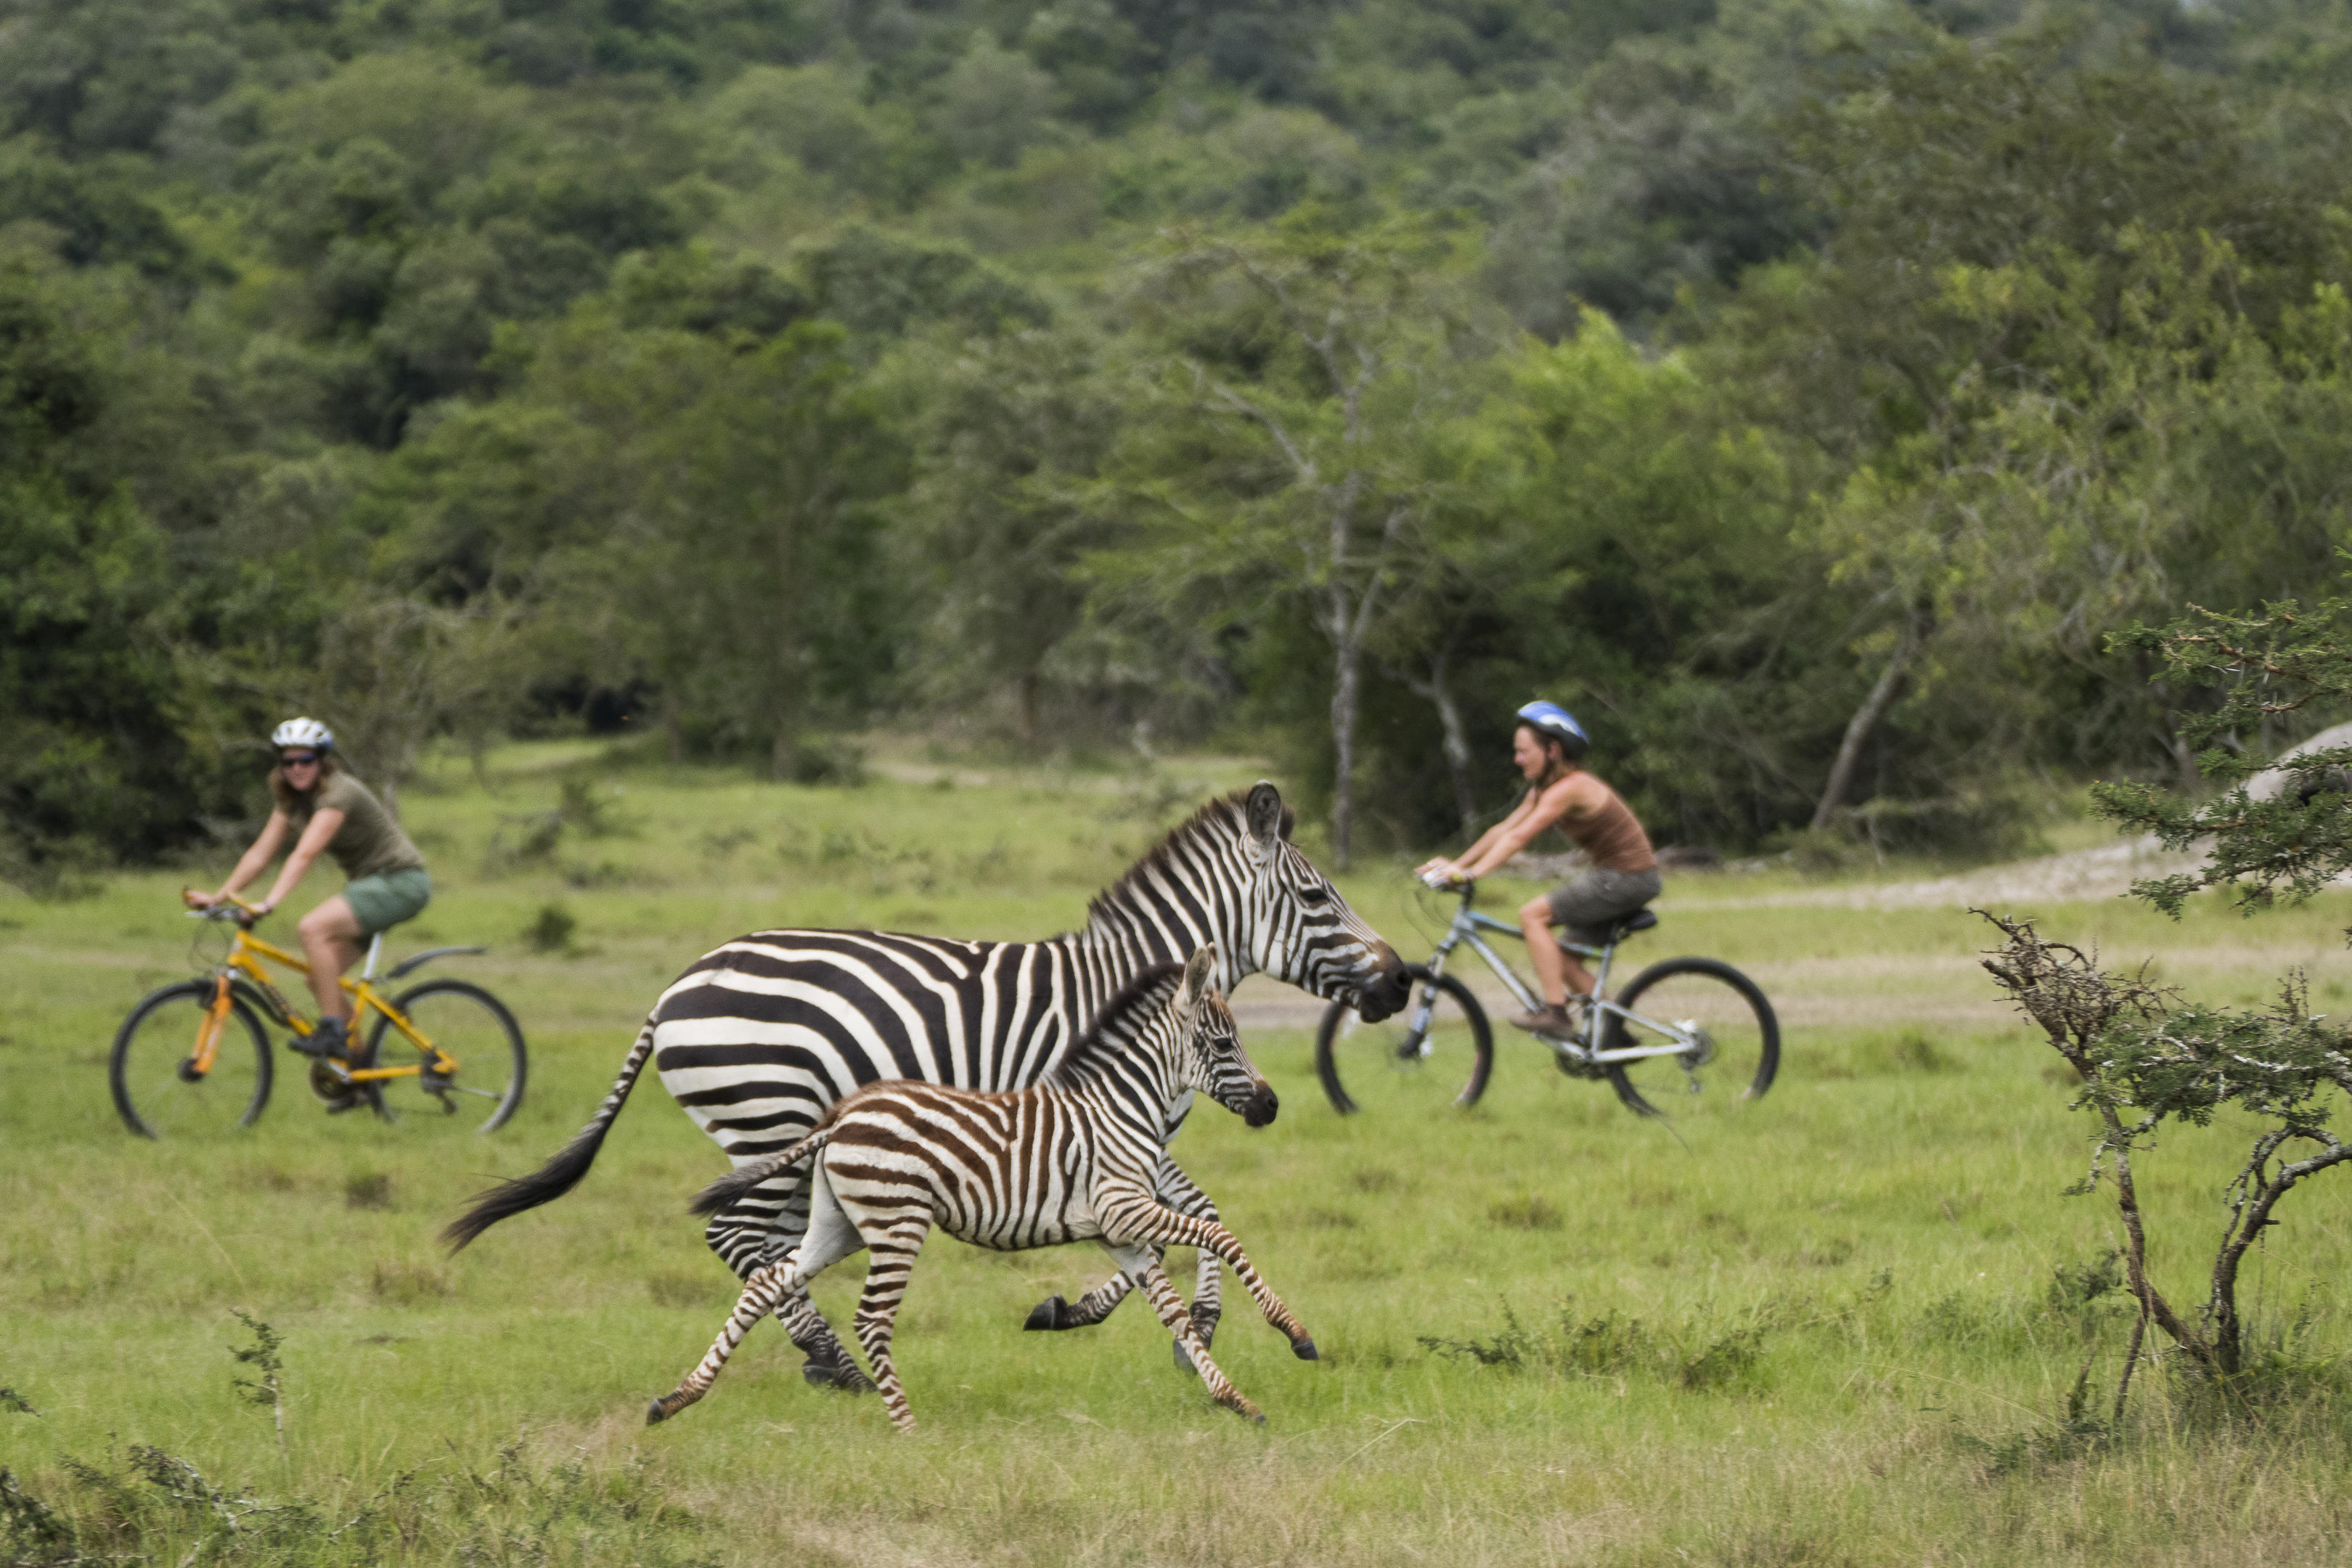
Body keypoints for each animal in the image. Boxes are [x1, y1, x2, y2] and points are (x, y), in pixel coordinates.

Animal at [645, 947, 1318, 1432]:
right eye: (1223, 1043)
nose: (1271, 1106)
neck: (1120, 1107)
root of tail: (840, 1116)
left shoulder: (1119, 1232)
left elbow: (1173, 1312)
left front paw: (1236, 1400)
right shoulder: (1125, 1209)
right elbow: (1221, 1236)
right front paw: (1296, 1335)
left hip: (839, 1226)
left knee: (766, 1284)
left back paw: (676, 1399)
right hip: (897, 1221)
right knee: (869, 1318)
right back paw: (908, 1430)